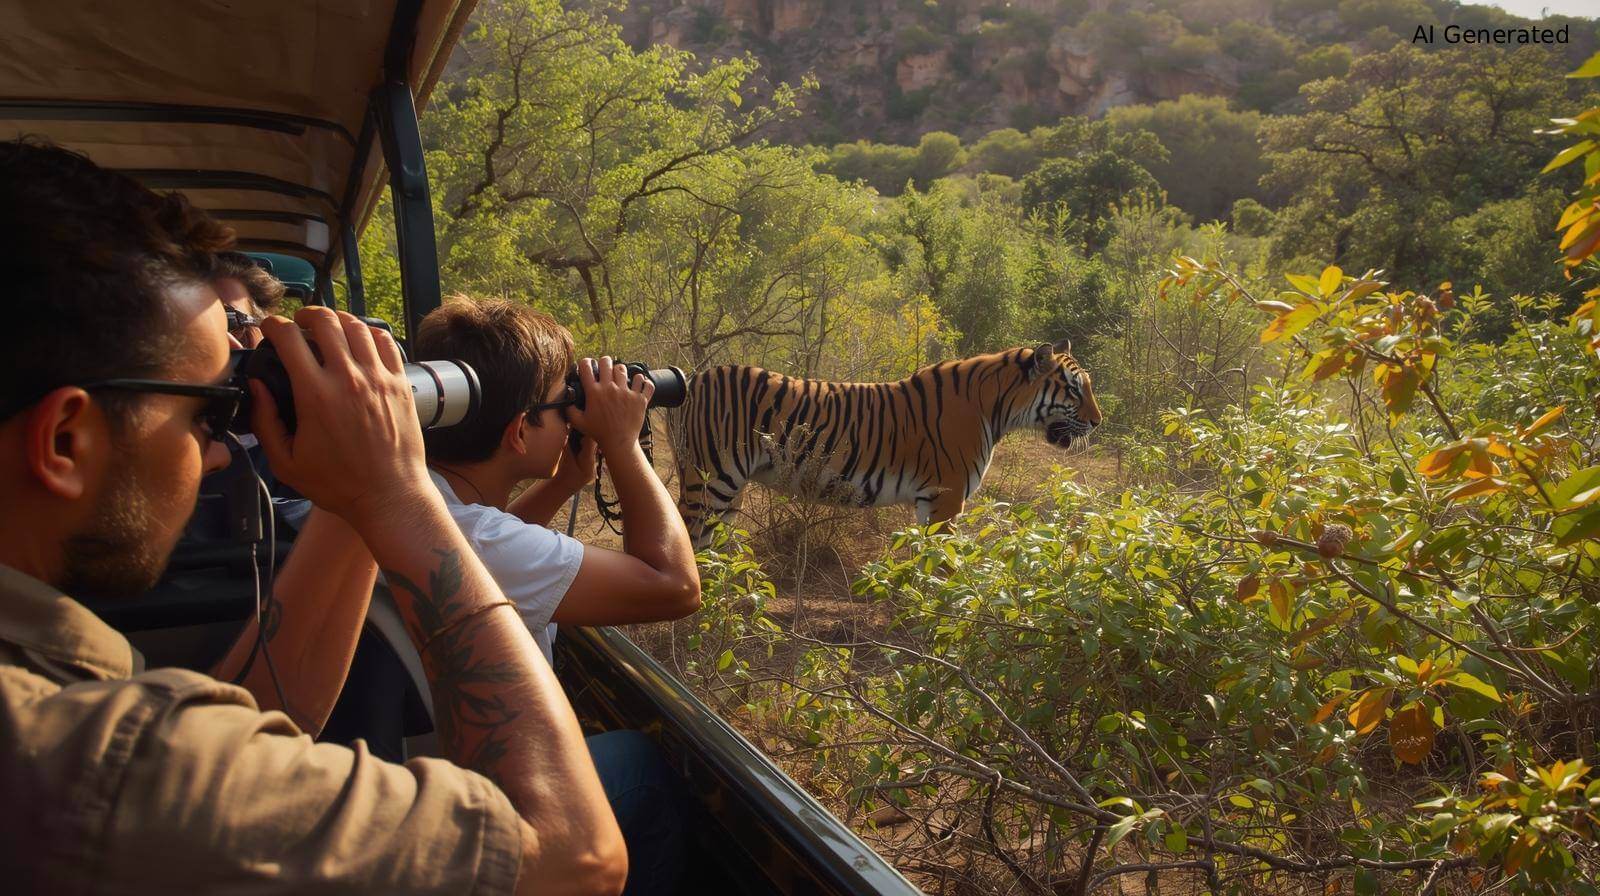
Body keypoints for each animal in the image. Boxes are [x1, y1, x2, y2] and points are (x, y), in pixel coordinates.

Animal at [669, 339, 1102, 548]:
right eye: (1074, 390)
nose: (1098, 422)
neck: (997, 409)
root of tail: (696, 376)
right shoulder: (947, 497)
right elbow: (945, 565)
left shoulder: (930, 501)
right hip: (711, 481)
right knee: (689, 541)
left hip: (730, 492)